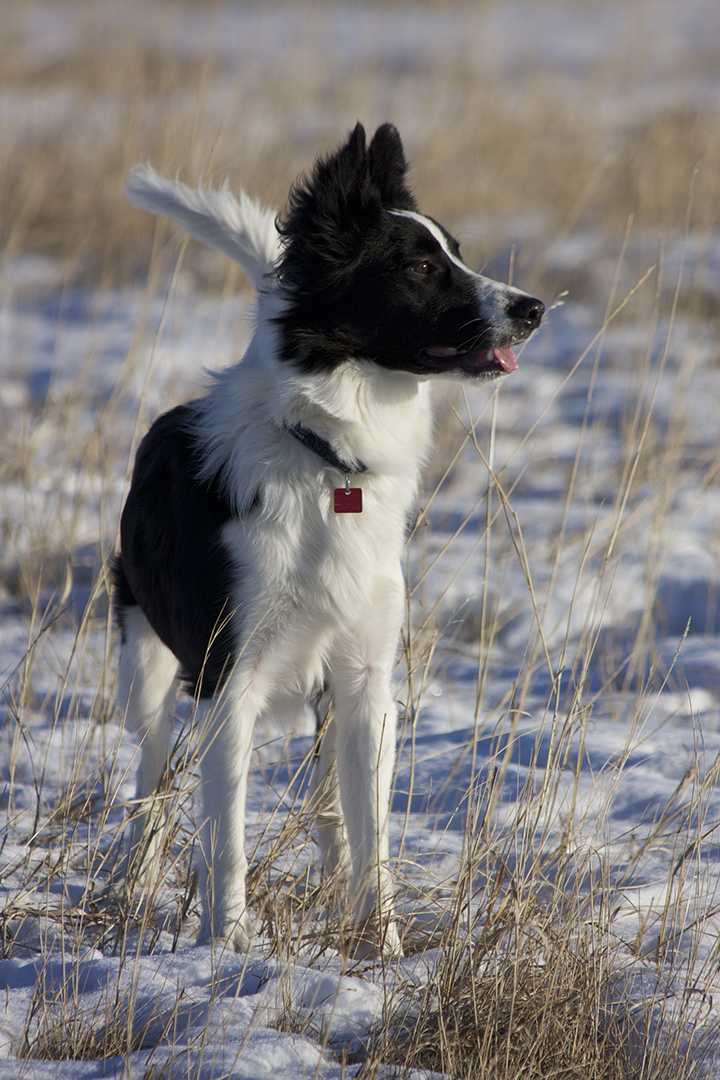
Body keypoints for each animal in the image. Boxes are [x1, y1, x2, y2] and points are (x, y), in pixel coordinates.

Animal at [112, 122, 544, 959]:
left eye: (457, 252)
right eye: (419, 267)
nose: (534, 307)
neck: (326, 457)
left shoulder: (368, 680)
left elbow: (370, 833)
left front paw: (382, 950)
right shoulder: (227, 679)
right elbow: (225, 838)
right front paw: (226, 949)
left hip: (326, 702)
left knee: (329, 811)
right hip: (145, 667)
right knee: (150, 784)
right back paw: (135, 888)